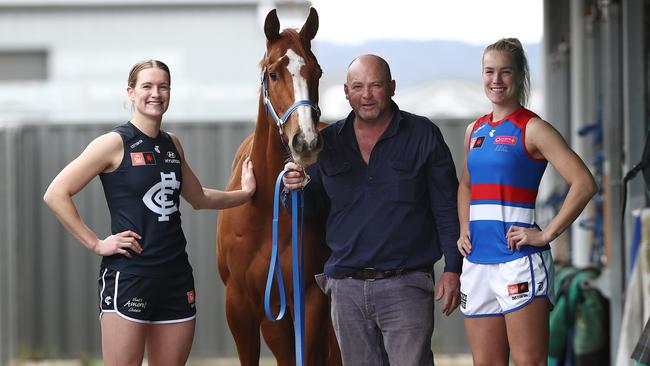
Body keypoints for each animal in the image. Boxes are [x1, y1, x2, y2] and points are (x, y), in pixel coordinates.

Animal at [216, 7, 340, 364]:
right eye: (272, 73)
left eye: (317, 72)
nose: (306, 141)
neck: (262, 216)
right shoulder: (240, 306)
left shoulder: (310, 297)